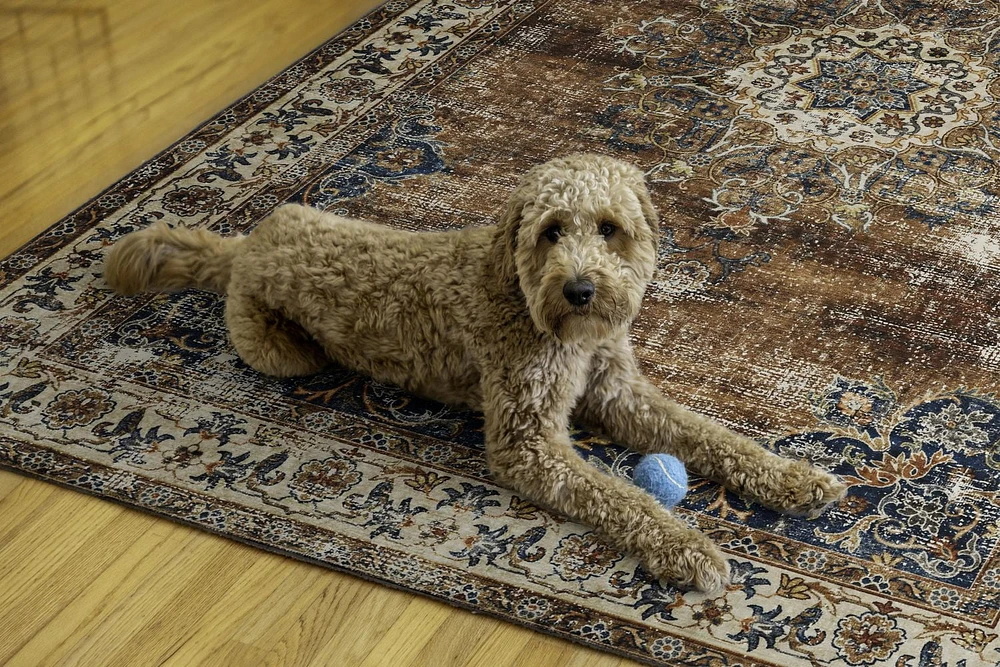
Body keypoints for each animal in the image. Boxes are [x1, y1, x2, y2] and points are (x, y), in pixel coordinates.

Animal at [107, 155, 844, 588]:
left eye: (609, 227)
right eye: (551, 230)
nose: (580, 290)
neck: (527, 299)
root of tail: (243, 247)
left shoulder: (619, 393)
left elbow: (712, 435)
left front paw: (792, 478)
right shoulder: (528, 442)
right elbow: (622, 495)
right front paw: (687, 548)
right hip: (279, 348)